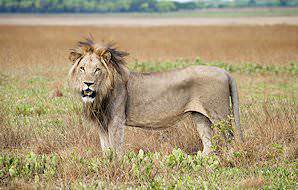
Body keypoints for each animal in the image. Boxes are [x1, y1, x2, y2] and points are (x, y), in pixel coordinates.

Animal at [68, 38, 243, 156]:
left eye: (97, 69)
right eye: (82, 68)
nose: (88, 84)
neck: (101, 94)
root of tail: (225, 71)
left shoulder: (116, 120)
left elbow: (116, 148)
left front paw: (117, 167)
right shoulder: (101, 123)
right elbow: (106, 150)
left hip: (220, 116)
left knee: (229, 138)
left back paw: (229, 158)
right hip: (200, 117)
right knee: (208, 143)